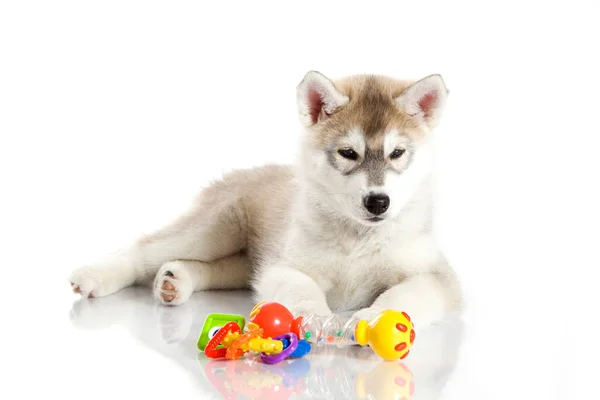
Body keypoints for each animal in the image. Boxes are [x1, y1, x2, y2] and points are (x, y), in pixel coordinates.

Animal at [69, 71, 464, 328]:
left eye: (397, 153)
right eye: (348, 153)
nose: (378, 202)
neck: (358, 238)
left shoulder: (438, 276)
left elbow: (406, 295)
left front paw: (375, 318)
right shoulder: (283, 266)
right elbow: (301, 289)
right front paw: (315, 318)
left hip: (241, 255)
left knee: (219, 267)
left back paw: (175, 279)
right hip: (214, 229)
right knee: (142, 249)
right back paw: (95, 276)